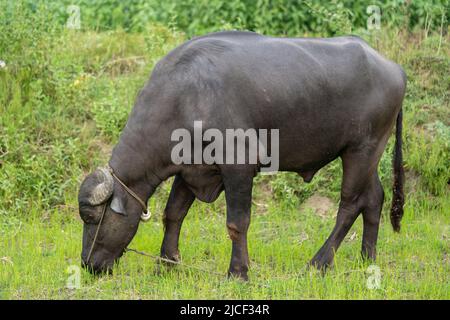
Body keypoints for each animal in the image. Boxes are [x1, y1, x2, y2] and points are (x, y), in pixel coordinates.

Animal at [76, 30, 404, 280]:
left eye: (92, 217)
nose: (88, 264)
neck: (186, 98)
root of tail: (394, 68)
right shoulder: (191, 169)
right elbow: (173, 214)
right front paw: (166, 263)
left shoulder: (239, 166)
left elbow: (237, 223)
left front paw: (238, 272)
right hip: (369, 154)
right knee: (373, 197)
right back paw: (367, 257)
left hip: (360, 151)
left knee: (349, 205)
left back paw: (319, 262)